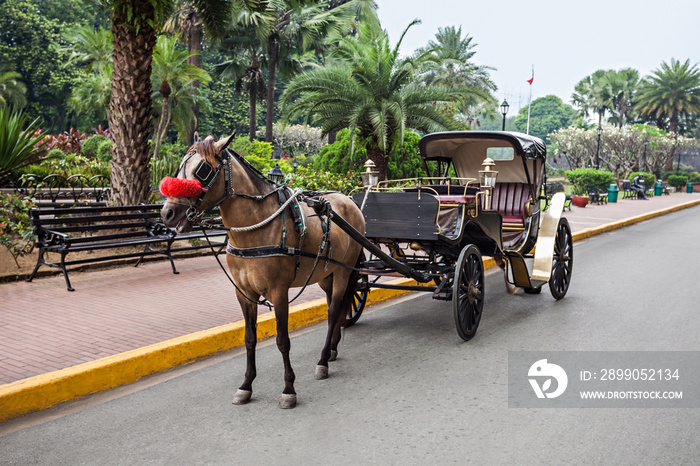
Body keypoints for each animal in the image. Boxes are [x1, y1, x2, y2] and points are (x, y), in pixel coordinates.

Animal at [159, 135, 366, 408]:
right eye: (178, 168)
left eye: (203, 170)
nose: (167, 213)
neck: (255, 228)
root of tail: (350, 201)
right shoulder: (244, 293)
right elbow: (249, 338)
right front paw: (246, 385)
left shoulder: (279, 292)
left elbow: (282, 340)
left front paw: (289, 388)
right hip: (326, 274)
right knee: (336, 304)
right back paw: (331, 350)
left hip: (343, 272)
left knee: (333, 313)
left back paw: (322, 361)